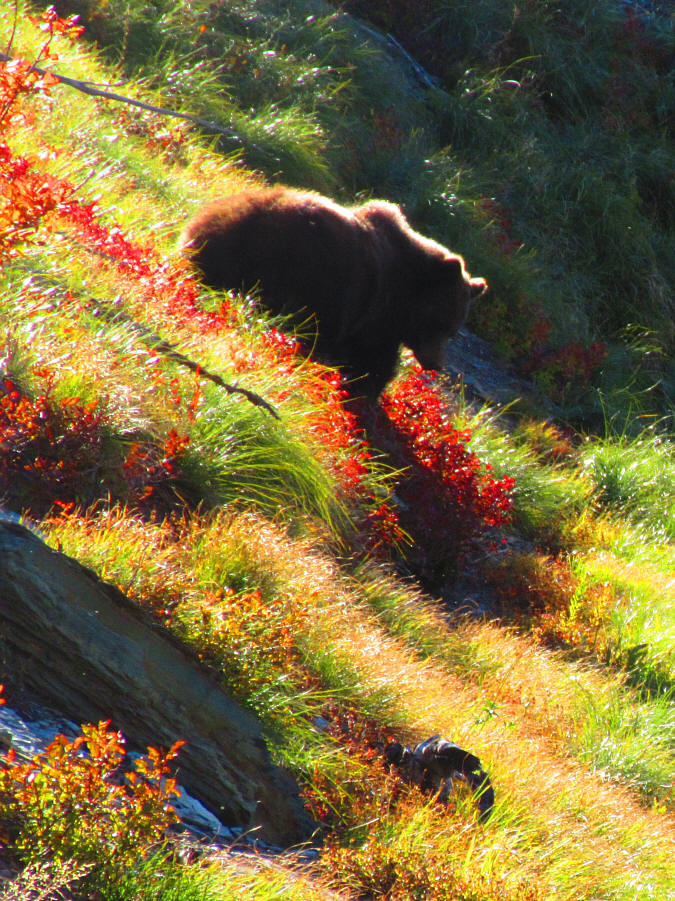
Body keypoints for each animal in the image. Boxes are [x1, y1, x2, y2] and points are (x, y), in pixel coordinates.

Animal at [180, 188, 486, 396]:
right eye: (440, 324)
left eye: (452, 331)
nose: (436, 363)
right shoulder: (376, 311)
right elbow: (372, 360)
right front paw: (366, 388)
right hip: (300, 266)